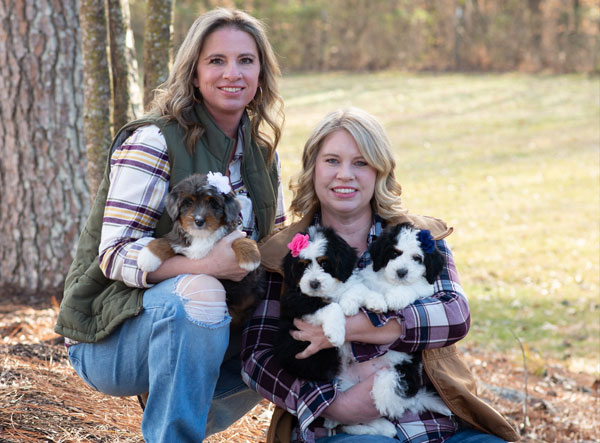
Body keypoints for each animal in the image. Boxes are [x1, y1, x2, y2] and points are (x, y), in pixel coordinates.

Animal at [141, 173, 262, 330]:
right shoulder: (180, 241)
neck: (202, 236)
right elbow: (167, 241)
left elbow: (240, 239)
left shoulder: (231, 235)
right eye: (188, 203)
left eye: (213, 204)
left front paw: (250, 257)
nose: (199, 221)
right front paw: (148, 257)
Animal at [274, 227, 358, 384]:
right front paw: (336, 333)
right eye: (303, 265)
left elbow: (356, 287)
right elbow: (330, 306)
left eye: (324, 263)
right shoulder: (296, 302)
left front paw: (370, 301)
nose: (314, 284)